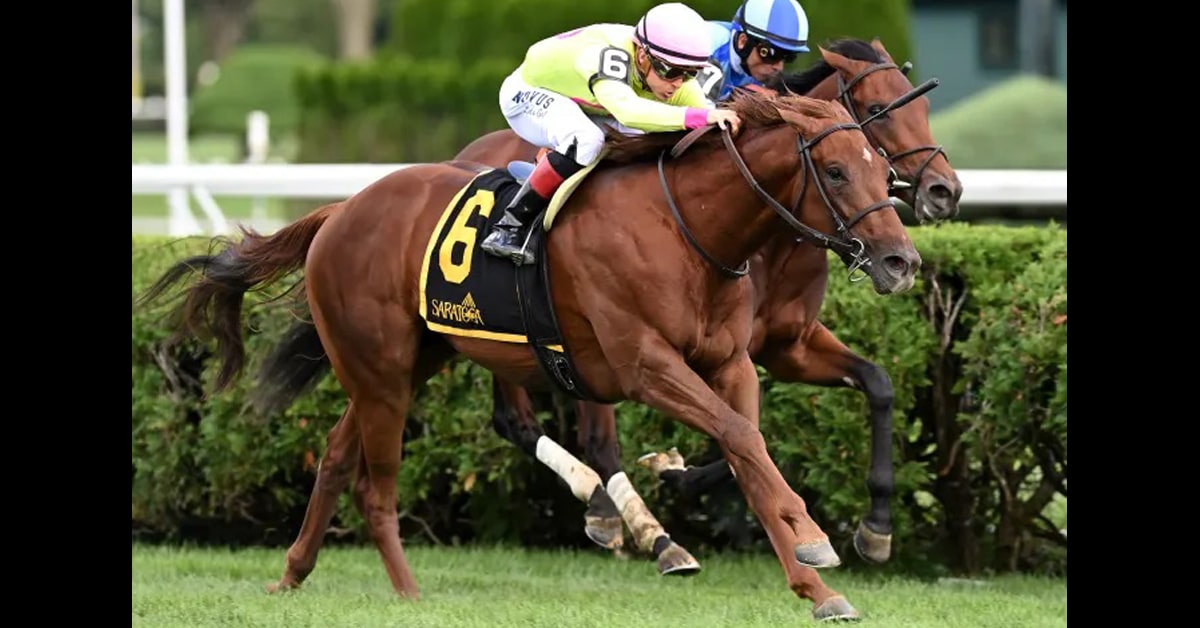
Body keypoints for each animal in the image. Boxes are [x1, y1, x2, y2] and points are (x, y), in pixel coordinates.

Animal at [136, 91, 920, 621]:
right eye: (837, 173)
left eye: (881, 168)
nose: (902, 262)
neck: (688, 230)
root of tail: (340, 210)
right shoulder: (644, 366)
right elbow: (739, 440)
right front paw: (815, 541)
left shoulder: (730, 363)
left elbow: (748, 451)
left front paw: (817, 584)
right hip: (382, 372)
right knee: (374, 486)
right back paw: (409, 592)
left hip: (407, 363)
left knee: (333, 456)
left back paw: (294, 573)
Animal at [450, 37, 960, 573]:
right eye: (879, 109)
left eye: (923, 109)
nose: (945, 191)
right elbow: (742, 431)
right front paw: (678, 474)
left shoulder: (787, 346)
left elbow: (876, 386)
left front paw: (876, 527)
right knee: (574, 434)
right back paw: (634, 525)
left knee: (519, 420)